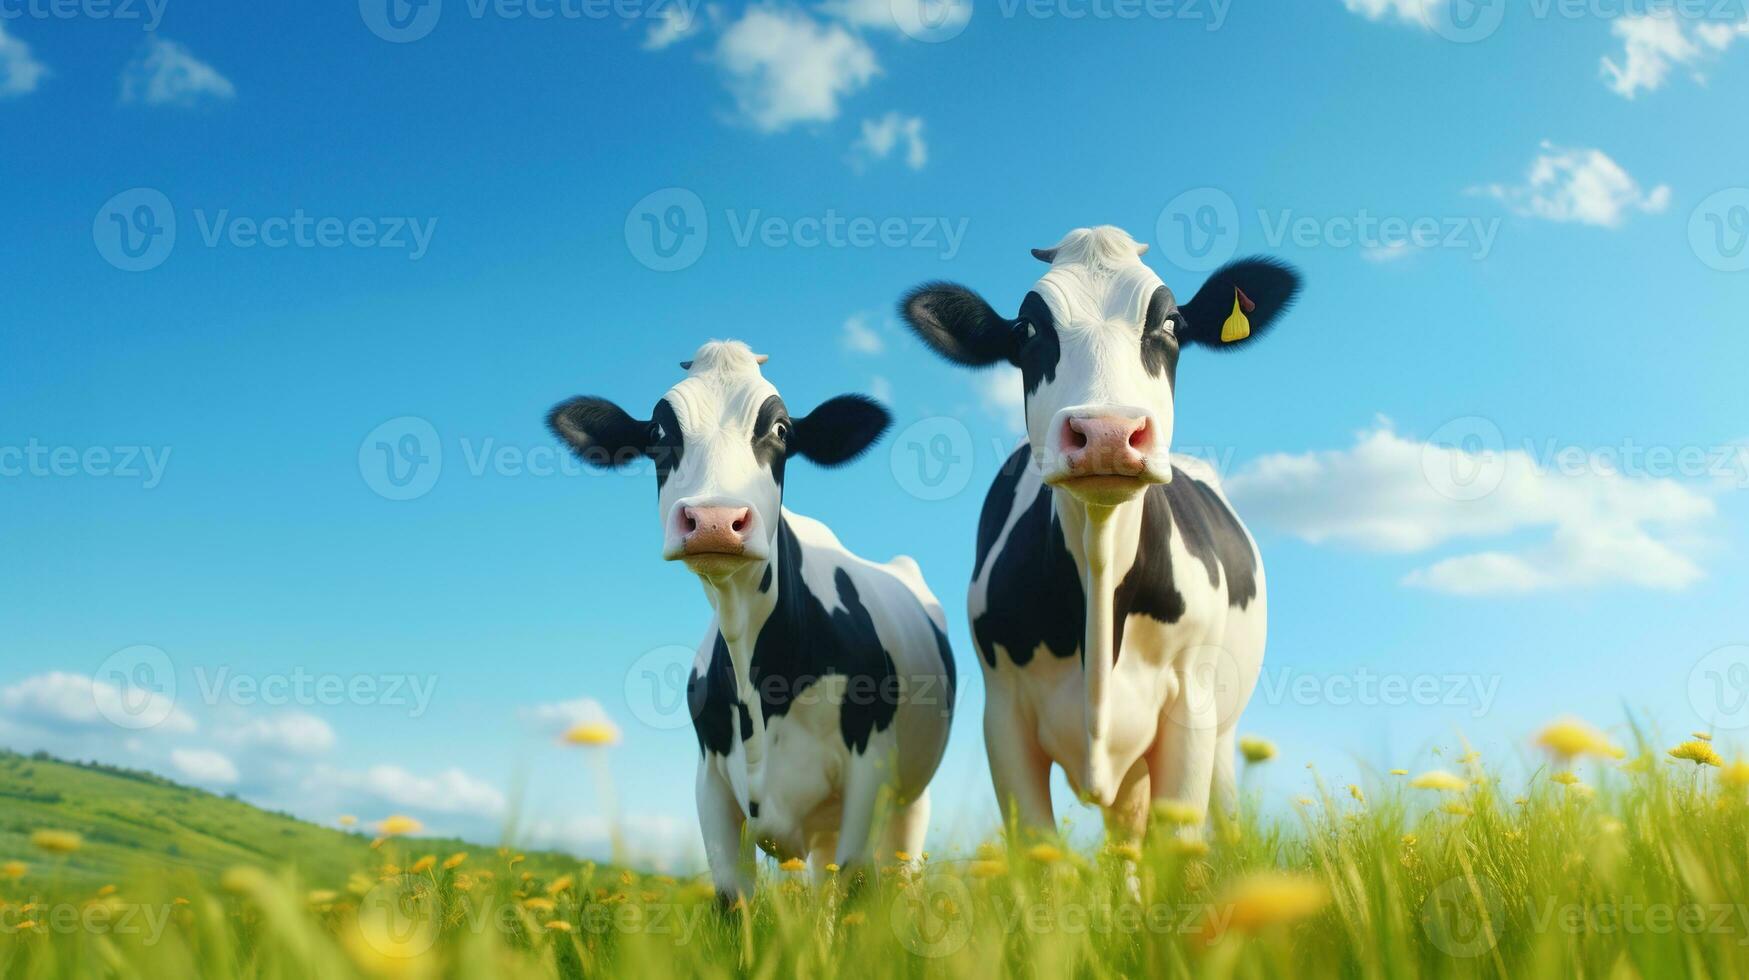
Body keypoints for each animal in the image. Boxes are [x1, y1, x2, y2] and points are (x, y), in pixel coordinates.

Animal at [545, 341, 958, 903]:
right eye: (657, 434)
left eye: (781, 429)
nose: (715, 521)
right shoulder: (711, 782)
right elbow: (731, 900)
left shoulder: (868, 771)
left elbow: (854, 891)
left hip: (910, 801)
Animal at [902, 225, 1301, 847]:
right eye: (1028, 328)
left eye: (1170, 323)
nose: (1108, 433)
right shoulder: (1003, 716)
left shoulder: (1191, 709)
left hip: (1223, 735)